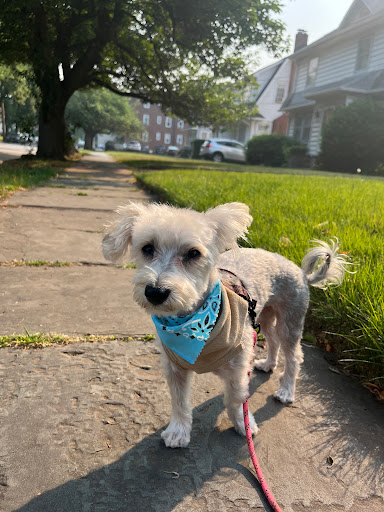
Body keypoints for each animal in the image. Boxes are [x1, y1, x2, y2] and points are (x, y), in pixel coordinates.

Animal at [101, 200, 344, 448]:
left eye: (193, 253)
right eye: (147, 248)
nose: (155, 292)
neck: (195, 325)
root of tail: (301, 271)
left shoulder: (238, 368)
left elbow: (235, 399)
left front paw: (244, 425)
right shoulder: (175, 368)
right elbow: (179, 401)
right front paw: (178, 431)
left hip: (290, 319)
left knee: (294, 356)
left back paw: (286, 390)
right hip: (263, 317)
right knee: (273, 340)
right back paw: (268, 364)